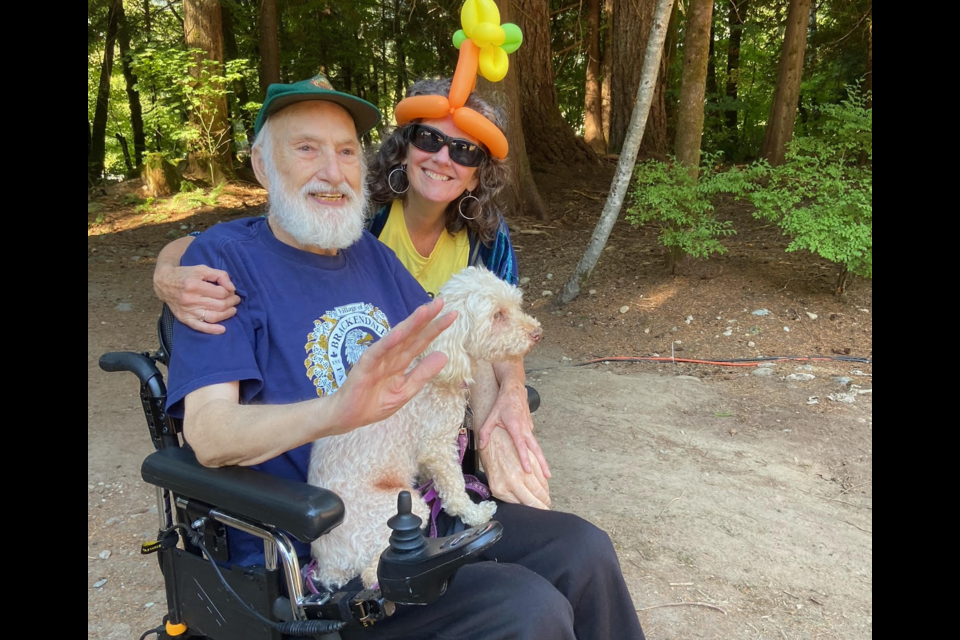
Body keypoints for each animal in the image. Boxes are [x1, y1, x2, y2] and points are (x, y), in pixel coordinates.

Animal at [310, 266, 544, 592]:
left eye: (515, 305)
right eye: (498, 315)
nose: (537, 333)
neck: (435, 362)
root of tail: (329, 567)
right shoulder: (438, 447)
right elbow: (455, 489)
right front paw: (475, 514)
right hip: (402, 509)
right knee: (371, 575)